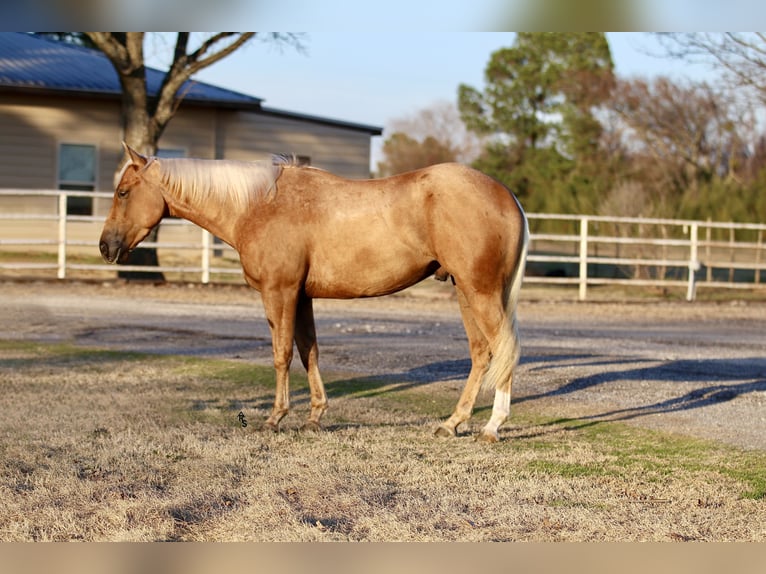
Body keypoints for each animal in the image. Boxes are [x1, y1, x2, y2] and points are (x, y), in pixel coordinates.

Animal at [102, 144, 532, 446]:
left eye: (123, 192)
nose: (106, 247)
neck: (259, 205)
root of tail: (507, 196)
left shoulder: (280, 293)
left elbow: (281, 354)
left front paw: (275, 418)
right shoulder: (302, 296)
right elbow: (309, 351)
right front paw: (314, 418)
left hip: (480, 291)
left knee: (504, 348)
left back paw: (492, 427)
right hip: (466, 292)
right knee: (482, 353)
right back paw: (452, 423)